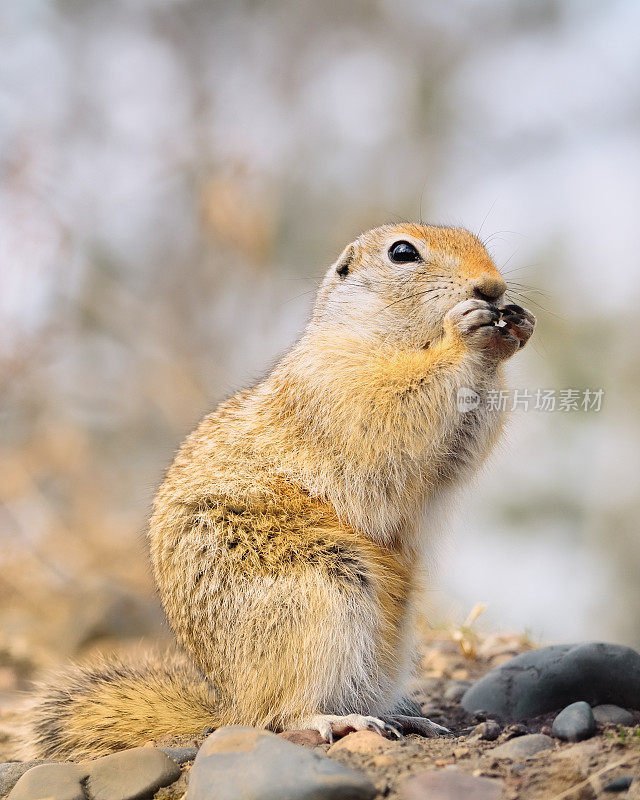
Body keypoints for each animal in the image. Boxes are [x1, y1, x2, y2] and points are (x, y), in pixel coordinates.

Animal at [23, 223, 536, 756]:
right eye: (402, 252)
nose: (492, 288)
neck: (395, 341)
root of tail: (228, 704)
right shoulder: (335, 387)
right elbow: (393, 408)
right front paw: (467, 336)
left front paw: (515, 329)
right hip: (320, 598)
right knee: (277, 715)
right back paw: (337, 719)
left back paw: (404, 718)